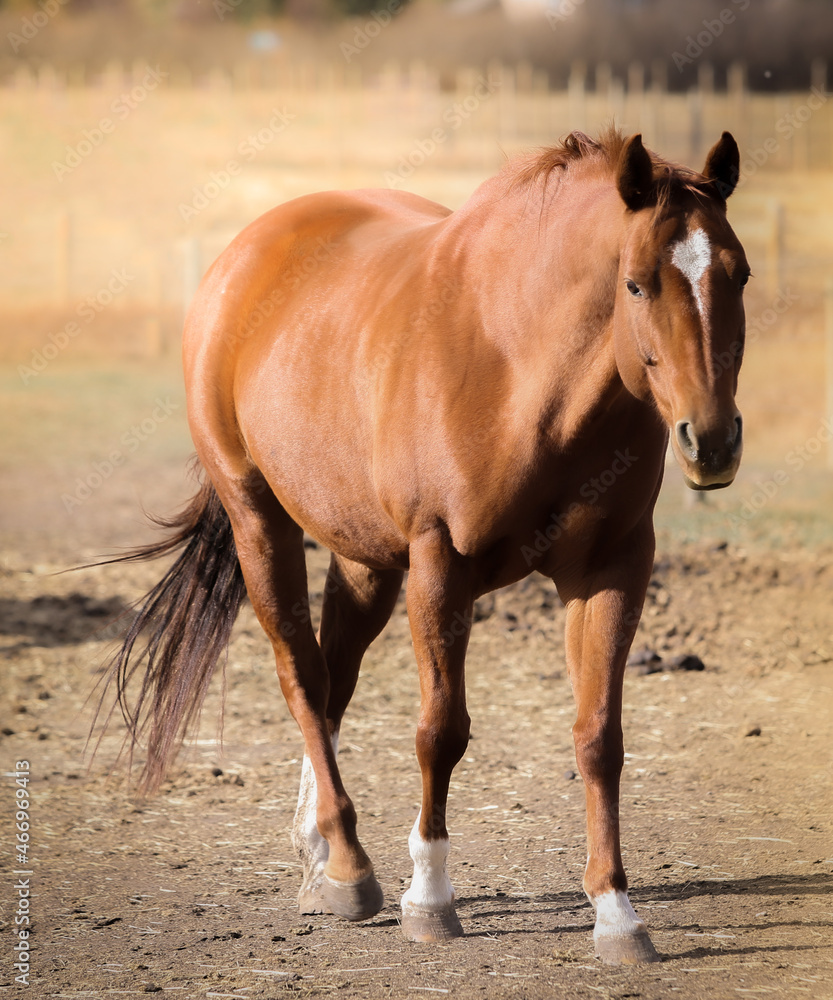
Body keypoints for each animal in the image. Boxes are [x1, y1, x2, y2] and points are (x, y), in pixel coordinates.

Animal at [101, 128, 749, 965]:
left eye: (738, 274)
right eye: (635, 285)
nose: (712, 442)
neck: (519, 368)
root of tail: (243, 254)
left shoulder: (612, 569)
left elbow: (598, 739)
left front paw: (615, 912)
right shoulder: (440, 566)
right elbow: (440, 732)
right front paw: (430, 898)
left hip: (362, 559)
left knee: (333, 680)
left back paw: (319, 853)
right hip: (260, 523)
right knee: (302, 678)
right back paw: (349, 867)